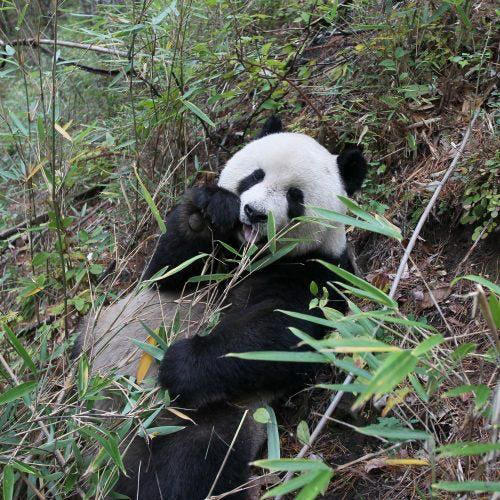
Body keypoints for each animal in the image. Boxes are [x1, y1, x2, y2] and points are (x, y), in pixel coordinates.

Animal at [77, 118, 368, 500]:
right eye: (254, 176)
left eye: (295, 196)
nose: (254, 213)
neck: (253, 255)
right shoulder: (215, 260)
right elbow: (166, 273)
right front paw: (207, 212)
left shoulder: (318, 272)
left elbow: (280, 331)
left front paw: (181, 363)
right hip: (94, 335)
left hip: (204, 420)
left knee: (186, 469)